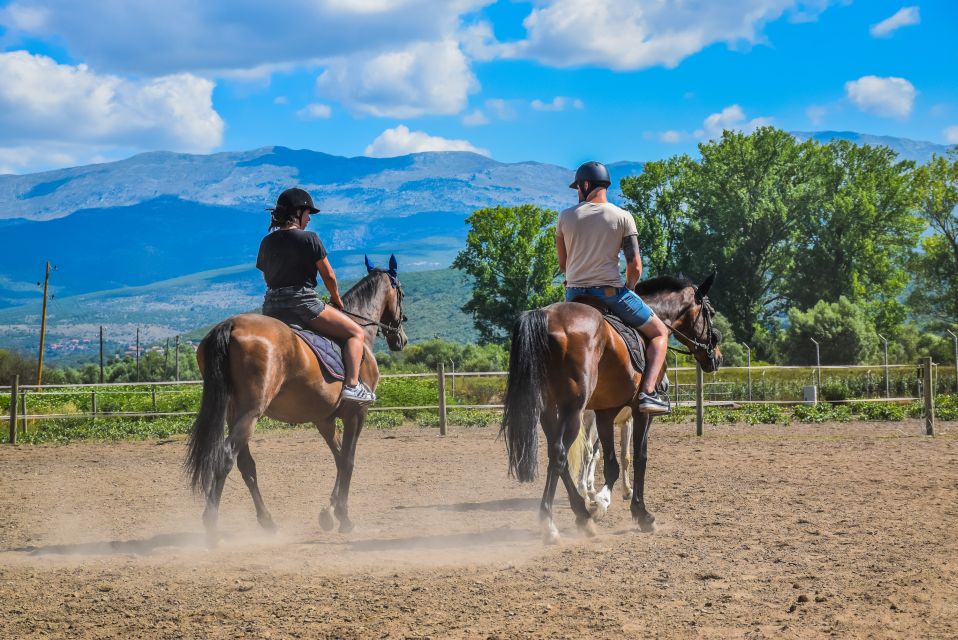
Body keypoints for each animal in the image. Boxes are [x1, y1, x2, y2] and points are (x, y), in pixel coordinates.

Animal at [186, 256, 406, 544]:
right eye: (402, 293)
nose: (401, 339)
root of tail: (231, 325)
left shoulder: (324, 420)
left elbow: (338, 457)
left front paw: (329, 512)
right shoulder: (356, 413)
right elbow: (348, 460)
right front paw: (344, 518)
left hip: (235, 413)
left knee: (246, 465)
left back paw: (268, 523)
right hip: (250, 413)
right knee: (226, 458)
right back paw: (211, 527)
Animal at [502, 272, 720, 544]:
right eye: (710, 313)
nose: (716, 354)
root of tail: (545, 317)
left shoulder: (605, 412)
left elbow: (612, 463)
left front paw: (600, 503)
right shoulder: (640, 413)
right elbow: (639, 458)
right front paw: (640, 513)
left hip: (550, 411)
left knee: (559, 455)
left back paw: (582, 514)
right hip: (573, 410)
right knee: (561, 454)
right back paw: (550, 523)